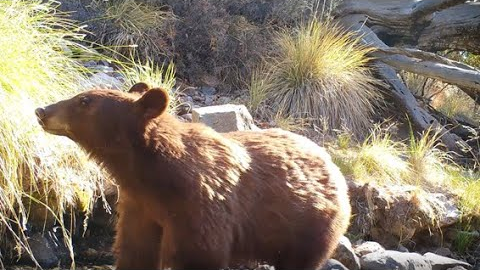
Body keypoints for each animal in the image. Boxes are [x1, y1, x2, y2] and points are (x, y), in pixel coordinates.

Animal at [33, 83, 348, 270]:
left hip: (309, 227)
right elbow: (136, 250)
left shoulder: (199, 207)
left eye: (84, 101)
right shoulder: (140, 206)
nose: (41, 110)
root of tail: (332, 164)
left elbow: (198, 254)